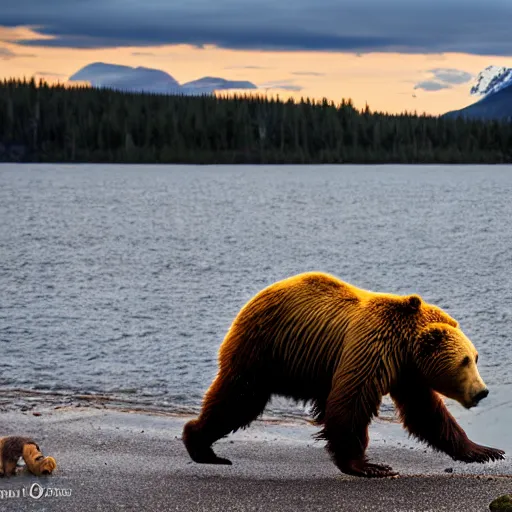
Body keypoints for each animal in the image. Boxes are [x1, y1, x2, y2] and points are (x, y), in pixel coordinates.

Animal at [183, 272, 504, 476]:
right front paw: (369, 466)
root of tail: (255, 298)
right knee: (239, 399)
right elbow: (352, 401)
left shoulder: (408, 374)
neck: (405, 346)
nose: (482, 391)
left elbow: (426, 413)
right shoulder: (372, 348)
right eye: (464, 361)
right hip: (265, 348)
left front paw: (484, 450)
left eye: (475, 357)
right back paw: (200, 445)